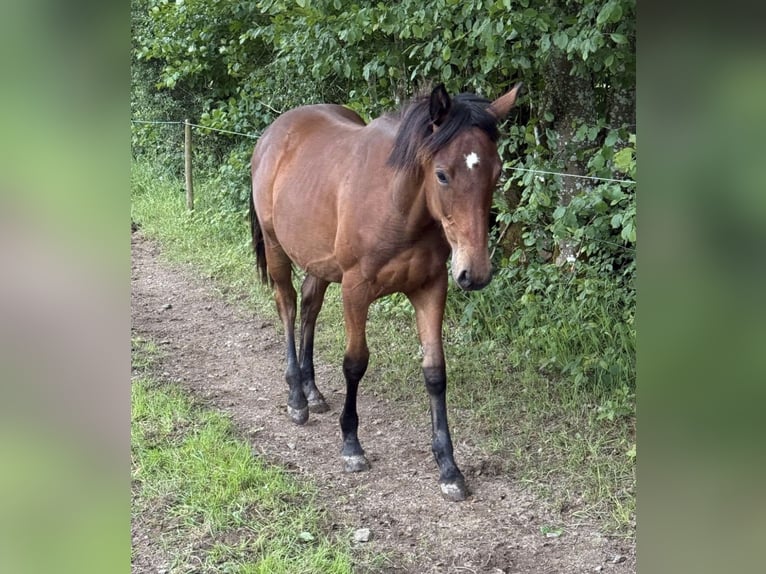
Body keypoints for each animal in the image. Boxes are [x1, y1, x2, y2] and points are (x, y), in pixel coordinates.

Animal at [249, 82, 522, 501]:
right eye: (442, 175)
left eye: (497, 172)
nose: (474, 274)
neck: (398, 206)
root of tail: (273, 133)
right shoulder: (356, 290)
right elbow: (355, 364)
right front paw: (351, 445)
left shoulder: (430, 289)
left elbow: (435, 372)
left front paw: (448, 467)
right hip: (278, 249)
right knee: (289, 307)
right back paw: (296, 396)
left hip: (319, 262)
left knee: (310, 306)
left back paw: (312, 390)